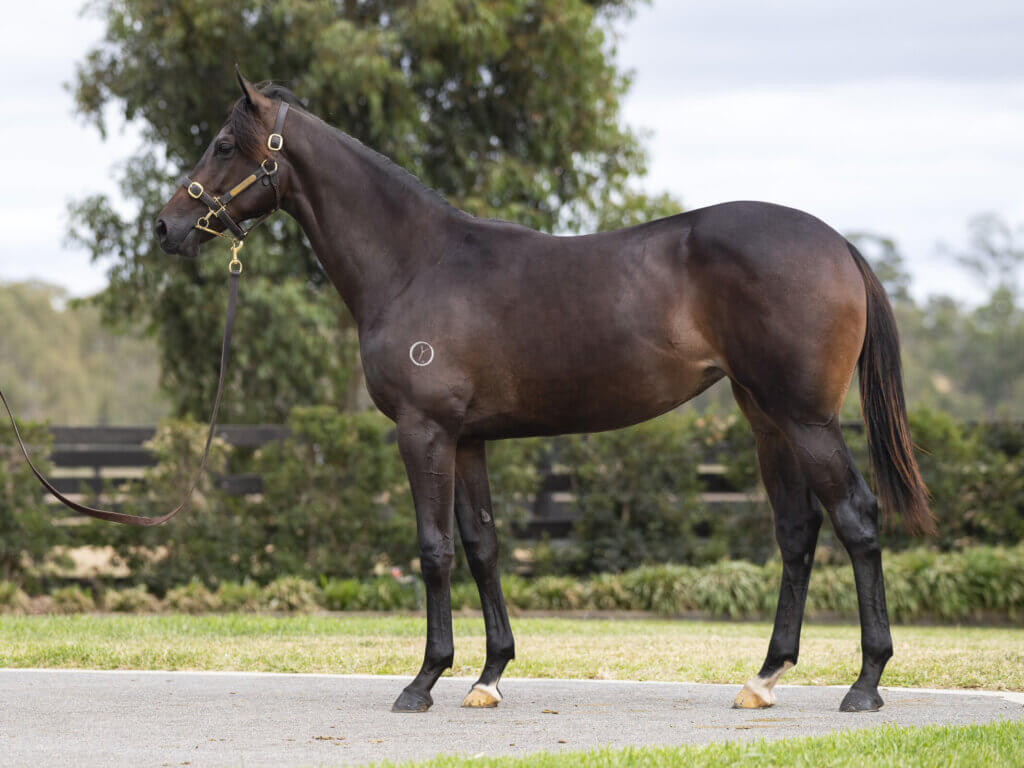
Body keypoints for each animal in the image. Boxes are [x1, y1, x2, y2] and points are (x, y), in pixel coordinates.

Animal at [155, 72, 933, 716]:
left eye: (222, 144)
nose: (166, 226)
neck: (415, 263)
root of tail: (839, 245)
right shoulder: (467, 439)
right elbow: (482, 545)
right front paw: (488, 676)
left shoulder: (423, 430)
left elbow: (434, 549)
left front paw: (424, 681)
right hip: (765, 416)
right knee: (797, 531)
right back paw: (764, 678)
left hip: (807, 420)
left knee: (857, 518)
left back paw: (866, 684)